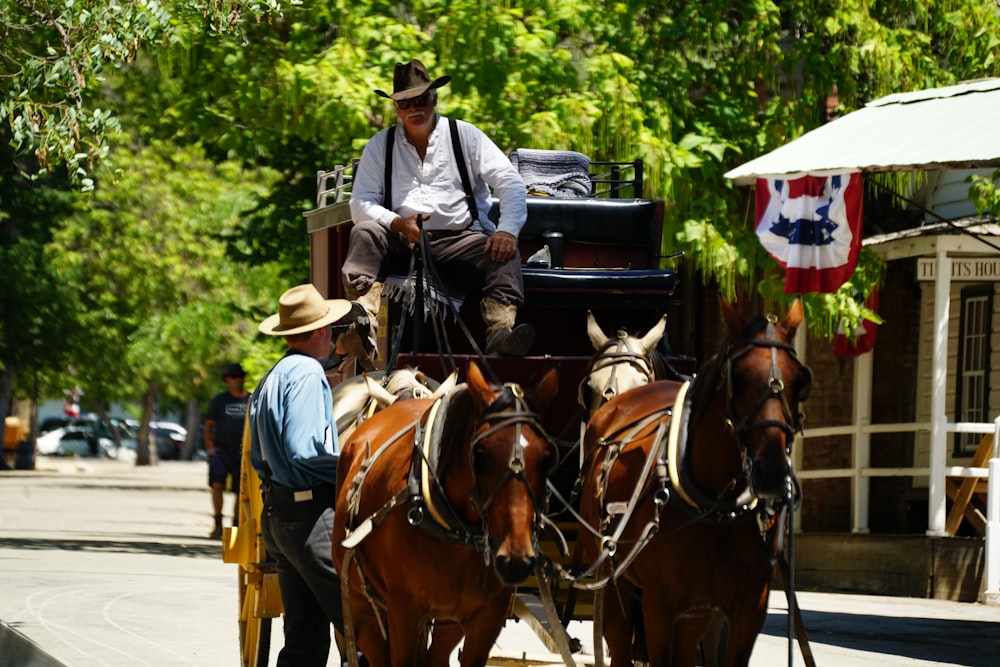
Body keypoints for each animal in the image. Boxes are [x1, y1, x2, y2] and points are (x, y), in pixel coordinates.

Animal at [332, 360, 560, 667]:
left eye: (547, 457)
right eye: (480, 454)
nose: (516, 558)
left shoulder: (487, 617)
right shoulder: (404, 611)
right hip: (362, 606)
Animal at [580, 300, 812, 667]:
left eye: (800, 379)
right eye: (737, 376)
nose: (772, 471)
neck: (715, 505)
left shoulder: (748, 609)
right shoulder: (659, 605)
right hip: (616, 583)